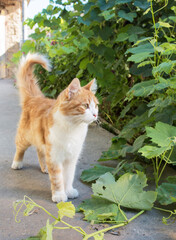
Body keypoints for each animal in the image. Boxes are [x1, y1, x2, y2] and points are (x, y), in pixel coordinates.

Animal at [11, 53, 98, 202]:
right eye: (85, 105)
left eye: (96, 105)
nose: (95, 114)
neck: (73, 128)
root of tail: (35, 98)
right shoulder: (55, 156)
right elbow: (57, 179)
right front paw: (59, 195)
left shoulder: (71, 158)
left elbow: (68, 177)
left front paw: (68, 191)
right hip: (25, 137)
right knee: (20, 148)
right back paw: (17, 163)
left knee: (40, 151)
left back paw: (44, 168)